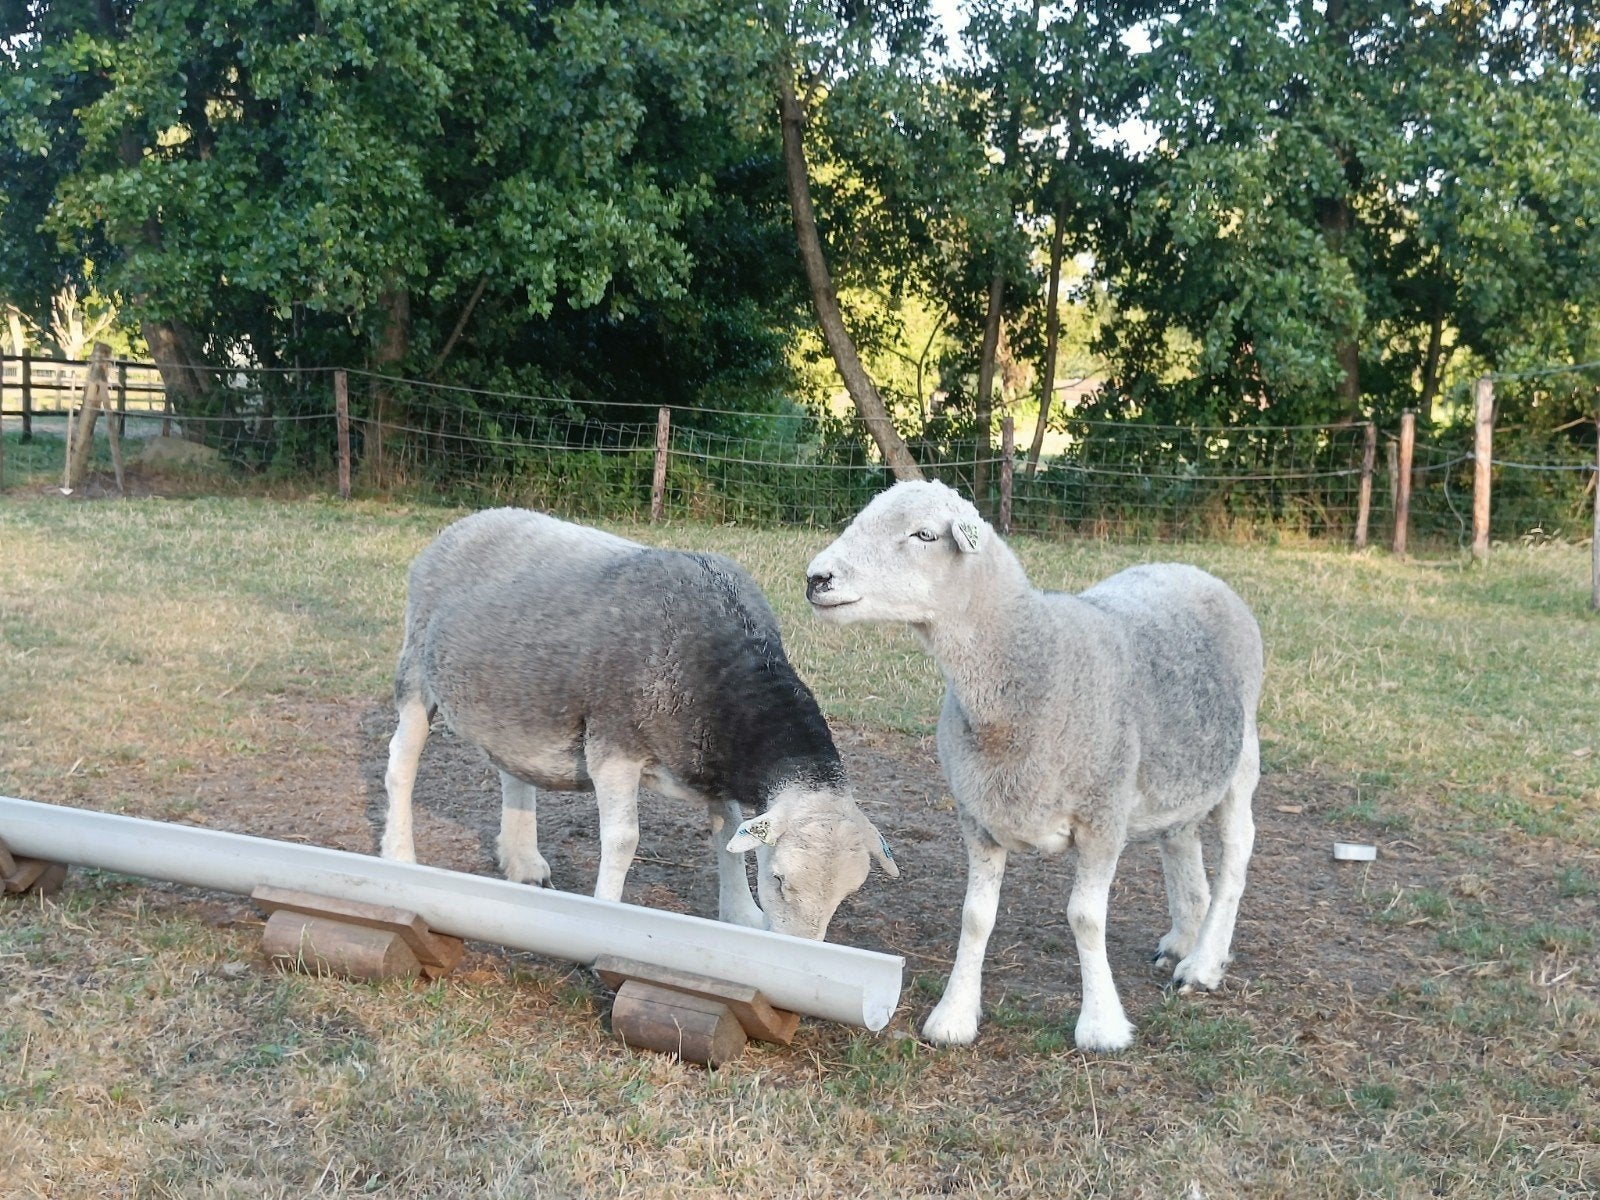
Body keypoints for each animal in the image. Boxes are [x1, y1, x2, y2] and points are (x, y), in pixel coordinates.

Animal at [380, 507, 898, 940]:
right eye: (778, 878)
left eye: (847, 894)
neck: (725, 673)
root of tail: (470, 520)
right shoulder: (614, 745)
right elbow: (624, 839)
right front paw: (608, 913)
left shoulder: (710, 763)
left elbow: (727, 835)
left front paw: (741, 915)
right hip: (416, 671)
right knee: (400, 767)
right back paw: (398, 855)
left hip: (517, 700)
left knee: (512, 771)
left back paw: (523, 862)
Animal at [805, 480, 1263, 1050]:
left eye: (924, 535)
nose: (817, 578)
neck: (1032, 663)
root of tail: (1194, 571)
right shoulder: (978, 815)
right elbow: (976, 916)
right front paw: (954, 1015)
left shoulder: (1102, 816)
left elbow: (1085, 918)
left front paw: (1101, 1025)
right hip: (1179, 772)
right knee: (1181, 840)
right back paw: (1185, 938)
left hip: (1241, 757)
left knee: (1237, 855)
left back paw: (1204, 962)